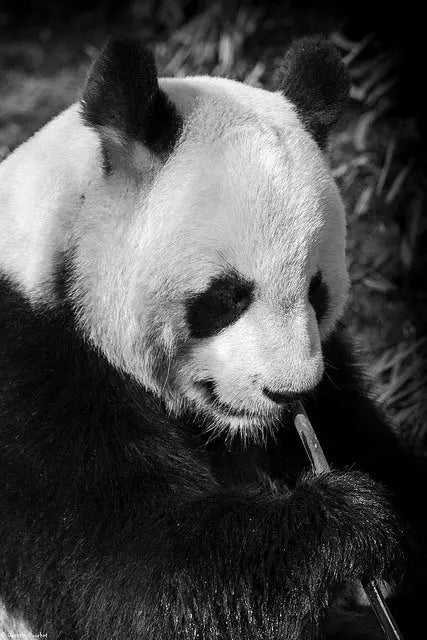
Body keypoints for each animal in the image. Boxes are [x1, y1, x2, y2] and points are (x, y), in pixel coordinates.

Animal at [0, 35, 426, 640]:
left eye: (316, 291)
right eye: (227, 297)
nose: (288, 393)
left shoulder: (333, 374)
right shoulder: (30, 375)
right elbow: (132, 572)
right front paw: (346, 523)